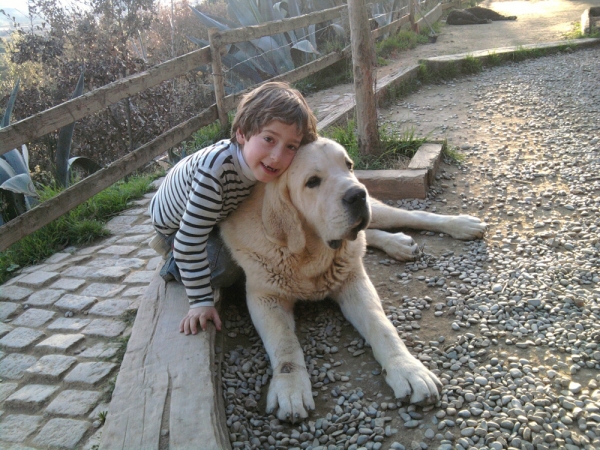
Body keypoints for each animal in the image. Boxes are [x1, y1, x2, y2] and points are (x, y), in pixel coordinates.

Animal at [218, 136, 486, 422]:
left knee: (407, 217)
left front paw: (409, 370)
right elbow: (285, 343)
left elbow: (382, 327)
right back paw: (397, 243)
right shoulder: (265, 296)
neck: (308, 253)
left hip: (378, 212)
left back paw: (460, 225)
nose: (357, 194)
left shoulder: (353, 281)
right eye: (312, 181)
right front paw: (290, 389)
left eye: (348, 165)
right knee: (368, 235)